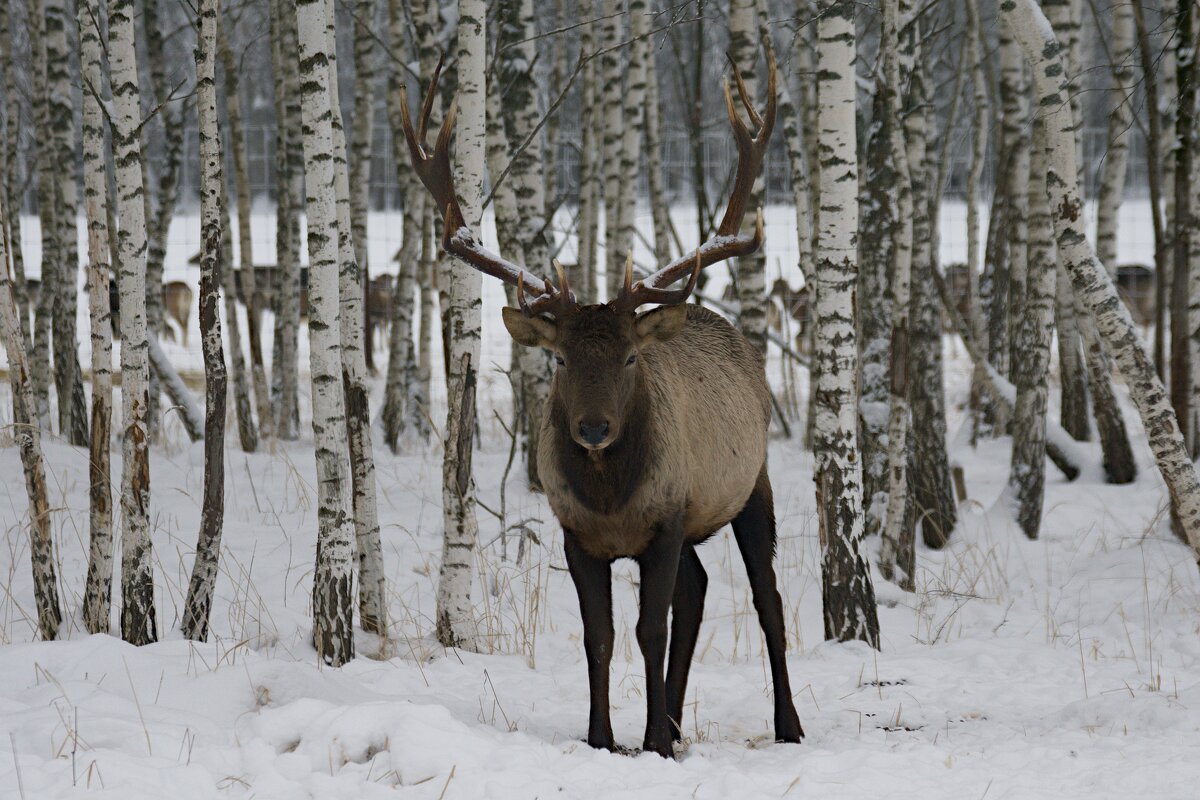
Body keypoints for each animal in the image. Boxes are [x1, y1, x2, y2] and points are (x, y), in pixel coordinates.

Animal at [405, 48, 806, 758]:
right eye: (562, 358)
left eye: (628, 357)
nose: (593, 428)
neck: (611, 499)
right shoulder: (578, 534)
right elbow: (602, 635)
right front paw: (604, 737)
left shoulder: (666, 519)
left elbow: (650, 630)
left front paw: (650, 744)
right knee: (698, 592)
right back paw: (675, 720)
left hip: (751, 483)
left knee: (767, 600)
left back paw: (785, 724)